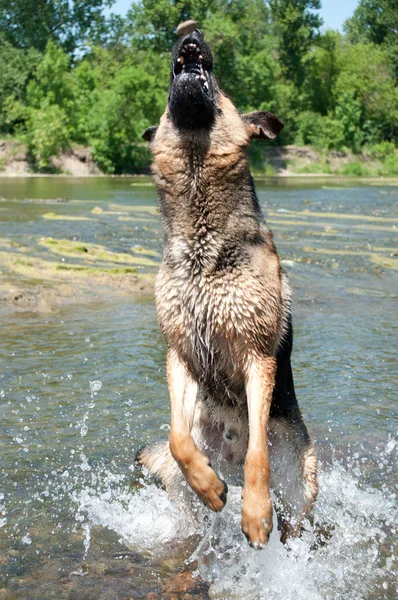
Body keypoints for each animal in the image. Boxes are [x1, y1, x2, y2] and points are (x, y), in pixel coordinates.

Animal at [138, 30, 318, 552]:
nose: (190, 36)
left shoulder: (257, 356)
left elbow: (259, 449)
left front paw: (255, 512)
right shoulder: (180, 352)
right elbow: (177, 438)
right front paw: (211, 488)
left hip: (304, 483)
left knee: (290, 508)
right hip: (185, 492)